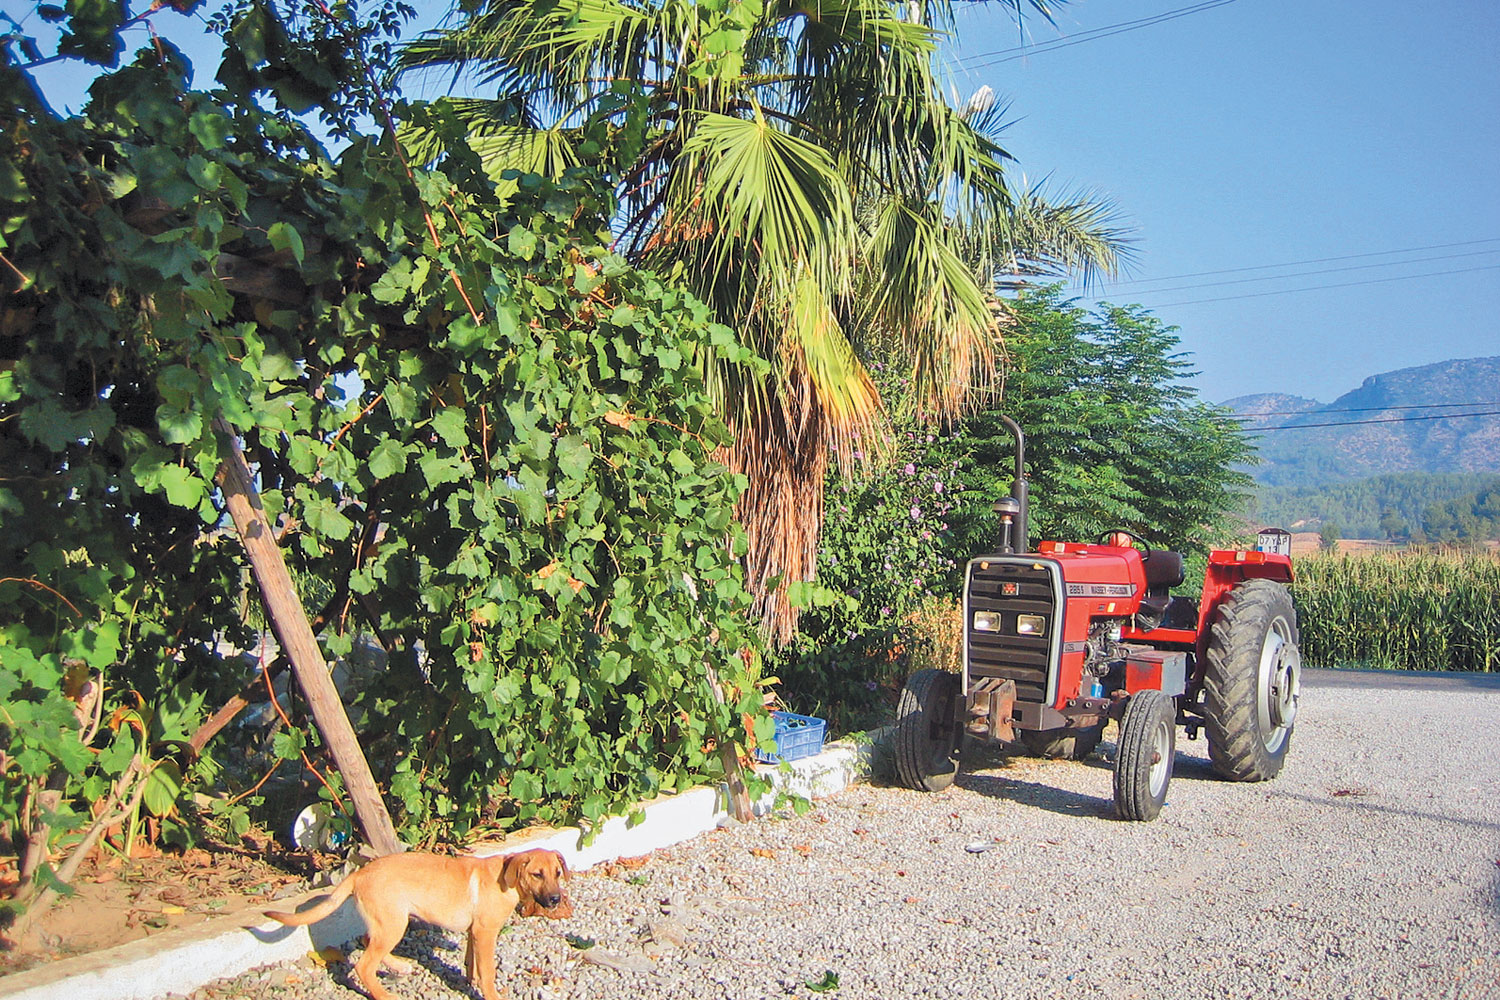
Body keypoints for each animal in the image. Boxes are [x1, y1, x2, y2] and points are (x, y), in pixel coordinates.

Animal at [264, 851, 567, 1000]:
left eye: (557, 873)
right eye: (537, 874)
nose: (555, 900)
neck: (507, 877)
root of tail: (360, 873)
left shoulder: (475, 933)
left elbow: (472, 964)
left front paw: (470, 981)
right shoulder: (485, 933)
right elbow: (488, 972)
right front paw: (491, 994)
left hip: (389, 923)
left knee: (368, 943)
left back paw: (399, 967)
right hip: (393, 925)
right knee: (364, 966)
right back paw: (384, 995)